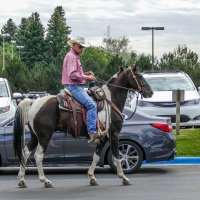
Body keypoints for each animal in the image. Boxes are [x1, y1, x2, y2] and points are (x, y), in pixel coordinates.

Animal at [13, 65, 152, 188]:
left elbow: (96, 156)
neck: (110, 101)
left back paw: (22, 180)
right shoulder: (114, 134)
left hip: (35, 136)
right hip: (44, 136)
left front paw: (92, 177)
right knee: (38, 156)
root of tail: (33, 102)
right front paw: (123, 178)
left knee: (25, 153)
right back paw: (45, 181)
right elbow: (117, 156)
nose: (150, 92)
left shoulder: (103, 137)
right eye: (139, 76)